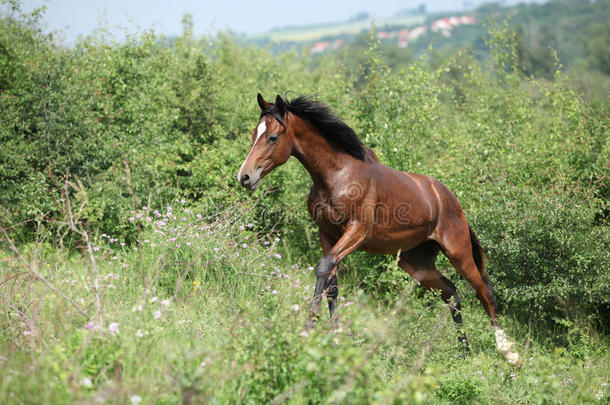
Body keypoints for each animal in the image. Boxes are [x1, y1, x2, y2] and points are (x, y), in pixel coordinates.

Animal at [235, 93, 520, 364]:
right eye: (254, 134)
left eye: (272, 137)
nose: (245, 177)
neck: (338, 176)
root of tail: (450, 198)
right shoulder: (327, 234)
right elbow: (331, 282)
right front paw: (335, 338)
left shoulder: (357, 232)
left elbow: (324, 268)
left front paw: (307, 330)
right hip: (416, 263)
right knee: (450, 292)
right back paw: (464, 352)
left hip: (458, 253)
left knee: (485, 292)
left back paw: (508, 353)